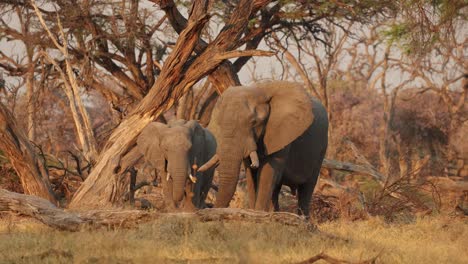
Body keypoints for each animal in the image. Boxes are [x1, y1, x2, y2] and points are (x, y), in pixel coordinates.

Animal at [198, 81, 330, 218]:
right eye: (219, 123)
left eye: (254, 122)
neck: (259, 90)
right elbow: (251, 175)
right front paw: (254, 214)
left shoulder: (281, 133)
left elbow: (267, 172)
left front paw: (257, 214)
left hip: (321, 148)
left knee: (306, 189)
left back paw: (303, 219)